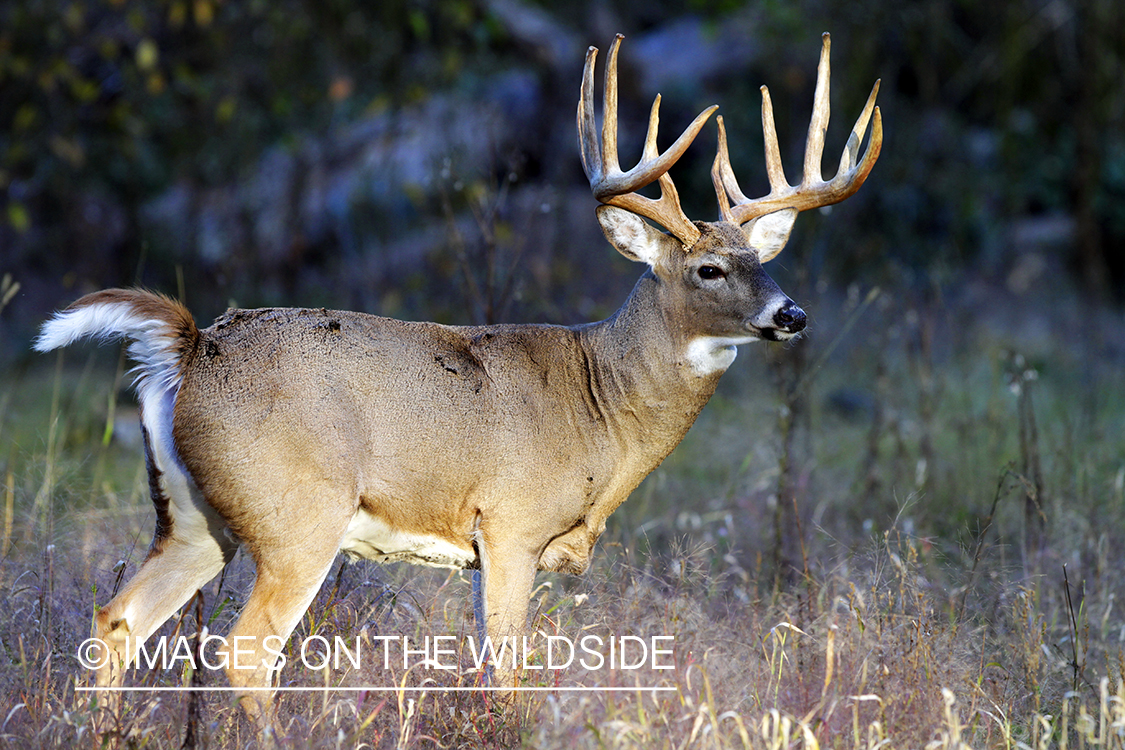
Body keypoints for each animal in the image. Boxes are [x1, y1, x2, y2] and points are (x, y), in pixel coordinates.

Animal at [37, 33, 877, 719]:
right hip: (296, 514)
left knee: (117, 619)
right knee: (245, 652)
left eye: (761, 258)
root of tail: (191, 347)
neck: (602, 406)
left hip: (192, 513)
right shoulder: (511, 523)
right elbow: (505, 675)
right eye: (708, 269)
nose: (791, 314)